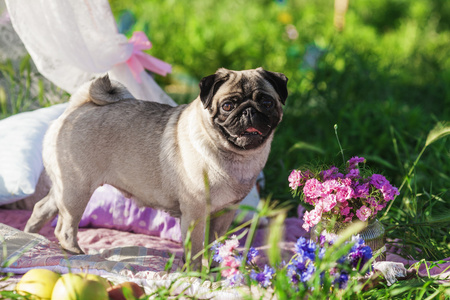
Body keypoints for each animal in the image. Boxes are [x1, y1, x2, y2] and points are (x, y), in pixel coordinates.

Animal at [25, 67, 288, 264]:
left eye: (266, 102)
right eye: (228, 106)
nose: (249, 112)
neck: (235, 156)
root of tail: (79, 106)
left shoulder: (225, 213)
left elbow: (214, 245)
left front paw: (213, 269)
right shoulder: (195, 214)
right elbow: (195, 250)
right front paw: (195, 274)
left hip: (64, 187)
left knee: (41, 207)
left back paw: (30, 237)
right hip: (77, 190)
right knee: (65, 228)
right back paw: (75, 255)